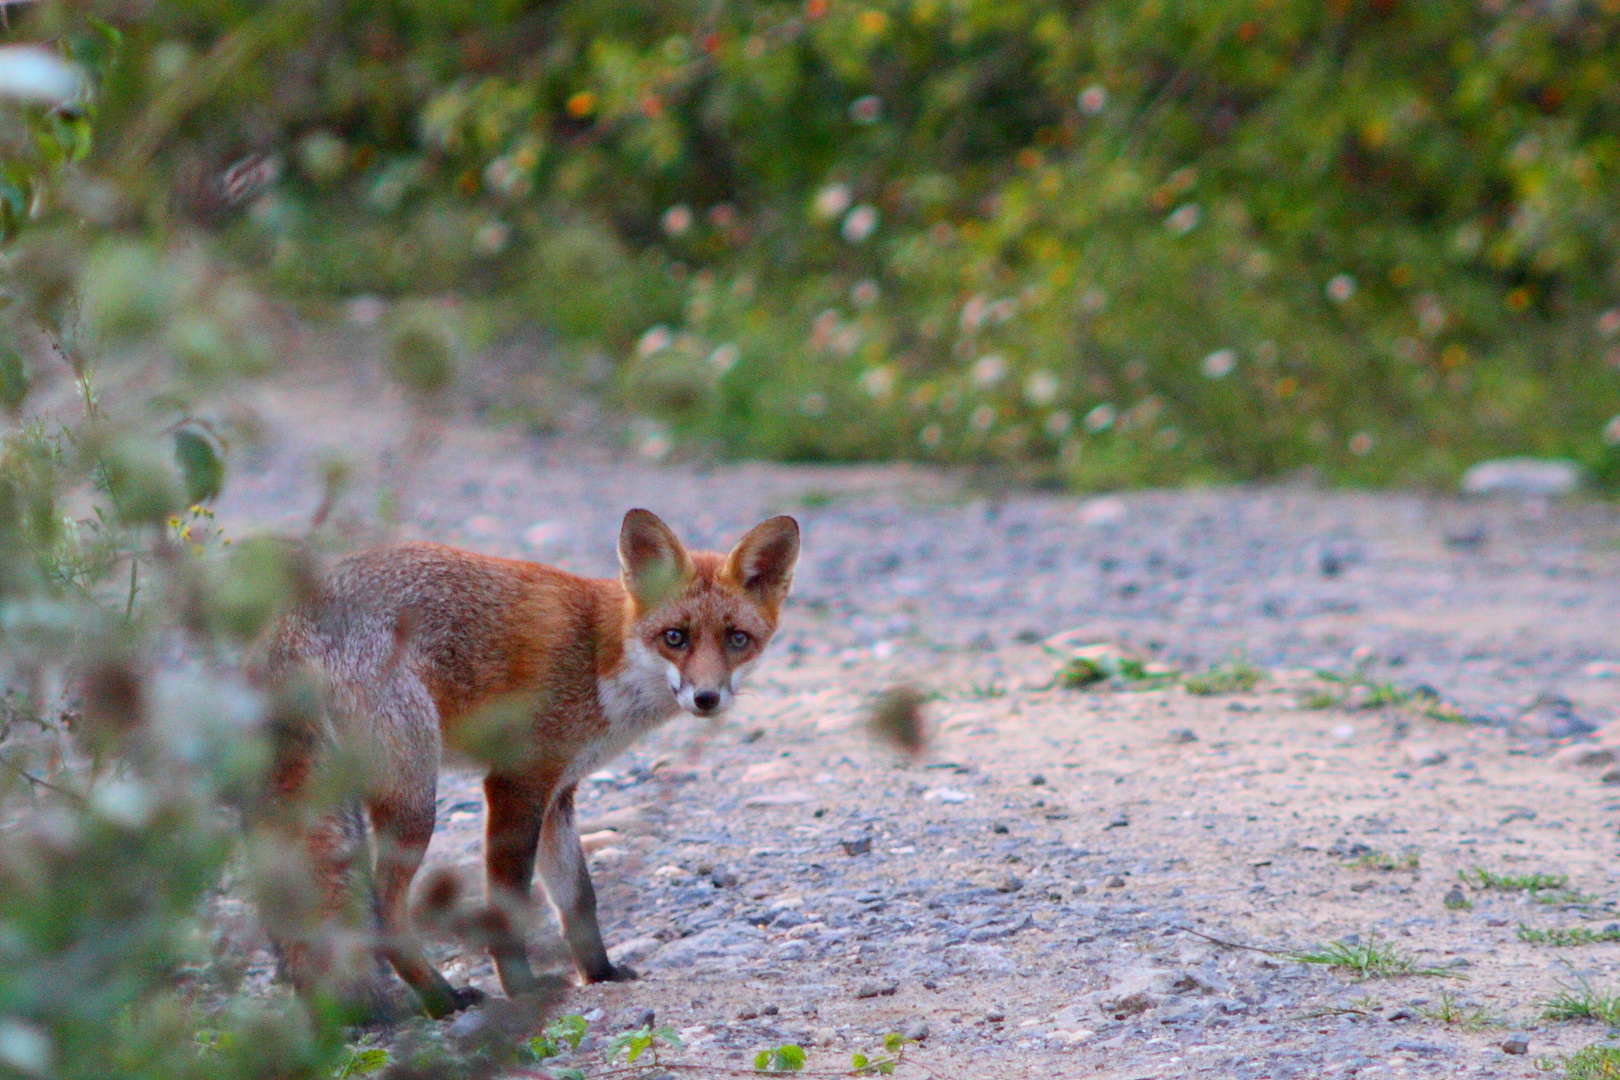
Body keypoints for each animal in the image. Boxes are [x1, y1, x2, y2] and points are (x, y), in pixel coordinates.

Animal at [262, 511, 800, 1016]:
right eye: (675, 637)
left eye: (737, 639)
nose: (707, 698)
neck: (598, 660)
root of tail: (288, 618)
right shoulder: (516, 781)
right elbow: (509, 904)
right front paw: (521, 988)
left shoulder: (559, 792)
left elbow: (579, 899)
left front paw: (599, 973)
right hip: (415, 797)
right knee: (383, 906)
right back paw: (442, 999)